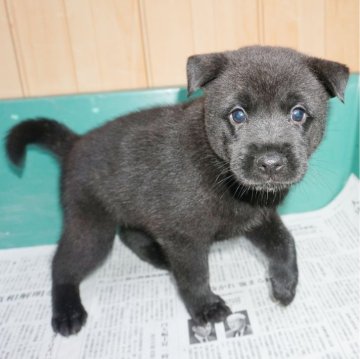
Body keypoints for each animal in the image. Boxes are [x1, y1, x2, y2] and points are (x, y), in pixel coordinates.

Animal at [6, 45, 348, 338]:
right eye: (238, 114)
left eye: (298, 113)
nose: (271, 163)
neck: (219, 169)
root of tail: (74, 143)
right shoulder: (185, 238)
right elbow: (195, 277)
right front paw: (206, 309)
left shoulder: (257, 218)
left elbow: (285, 243)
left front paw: (285, 285)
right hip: (91, 228)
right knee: (62, 265)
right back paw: (67, 311)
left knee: (130, 234)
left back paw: (159, 258)